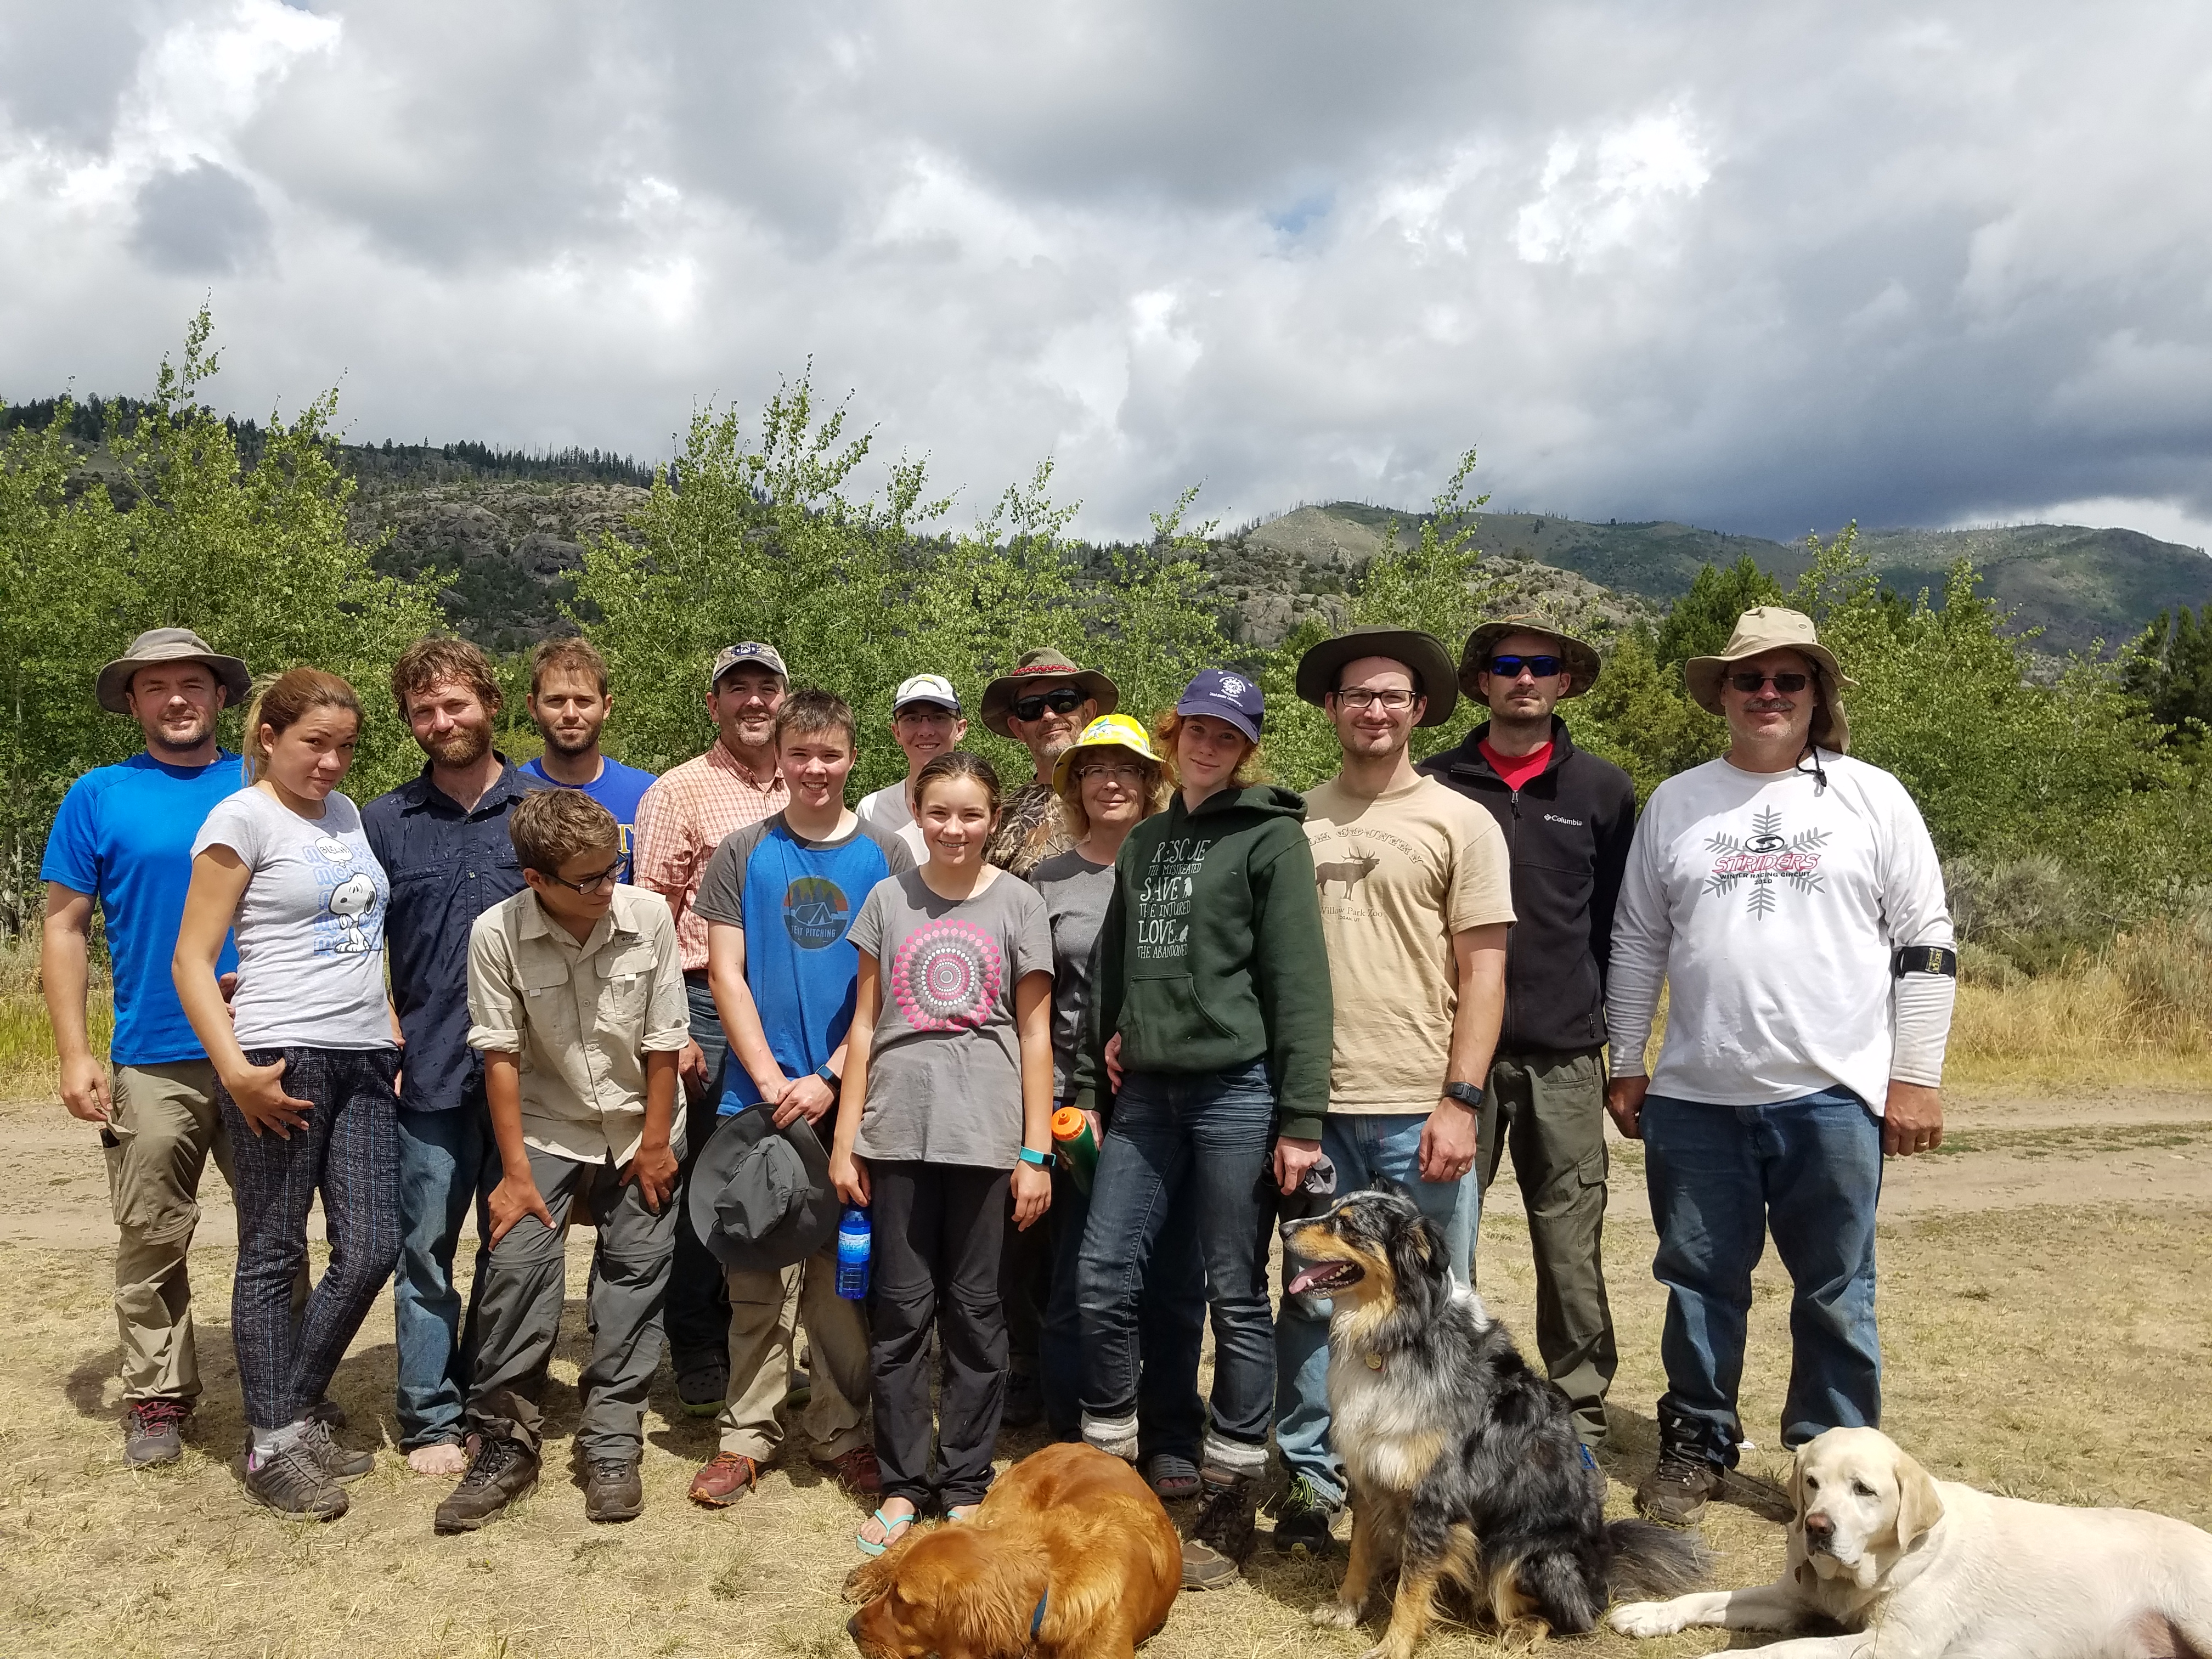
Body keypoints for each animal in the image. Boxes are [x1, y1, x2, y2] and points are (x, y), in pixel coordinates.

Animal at [1283, 1186, 1707, 1654]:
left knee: (1574, 1617)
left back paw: (1524, 1630)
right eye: (1331, 1210)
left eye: (1348, 1226)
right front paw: (1346, 1610)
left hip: (1521, 1550)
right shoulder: (1370, 1475)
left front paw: (1393, 1646)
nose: (1285, 1228)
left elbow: (1412, 1589)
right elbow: (1360, 1552)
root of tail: (1602, 1569)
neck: (1402, 1334)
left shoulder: (1436, 1497)